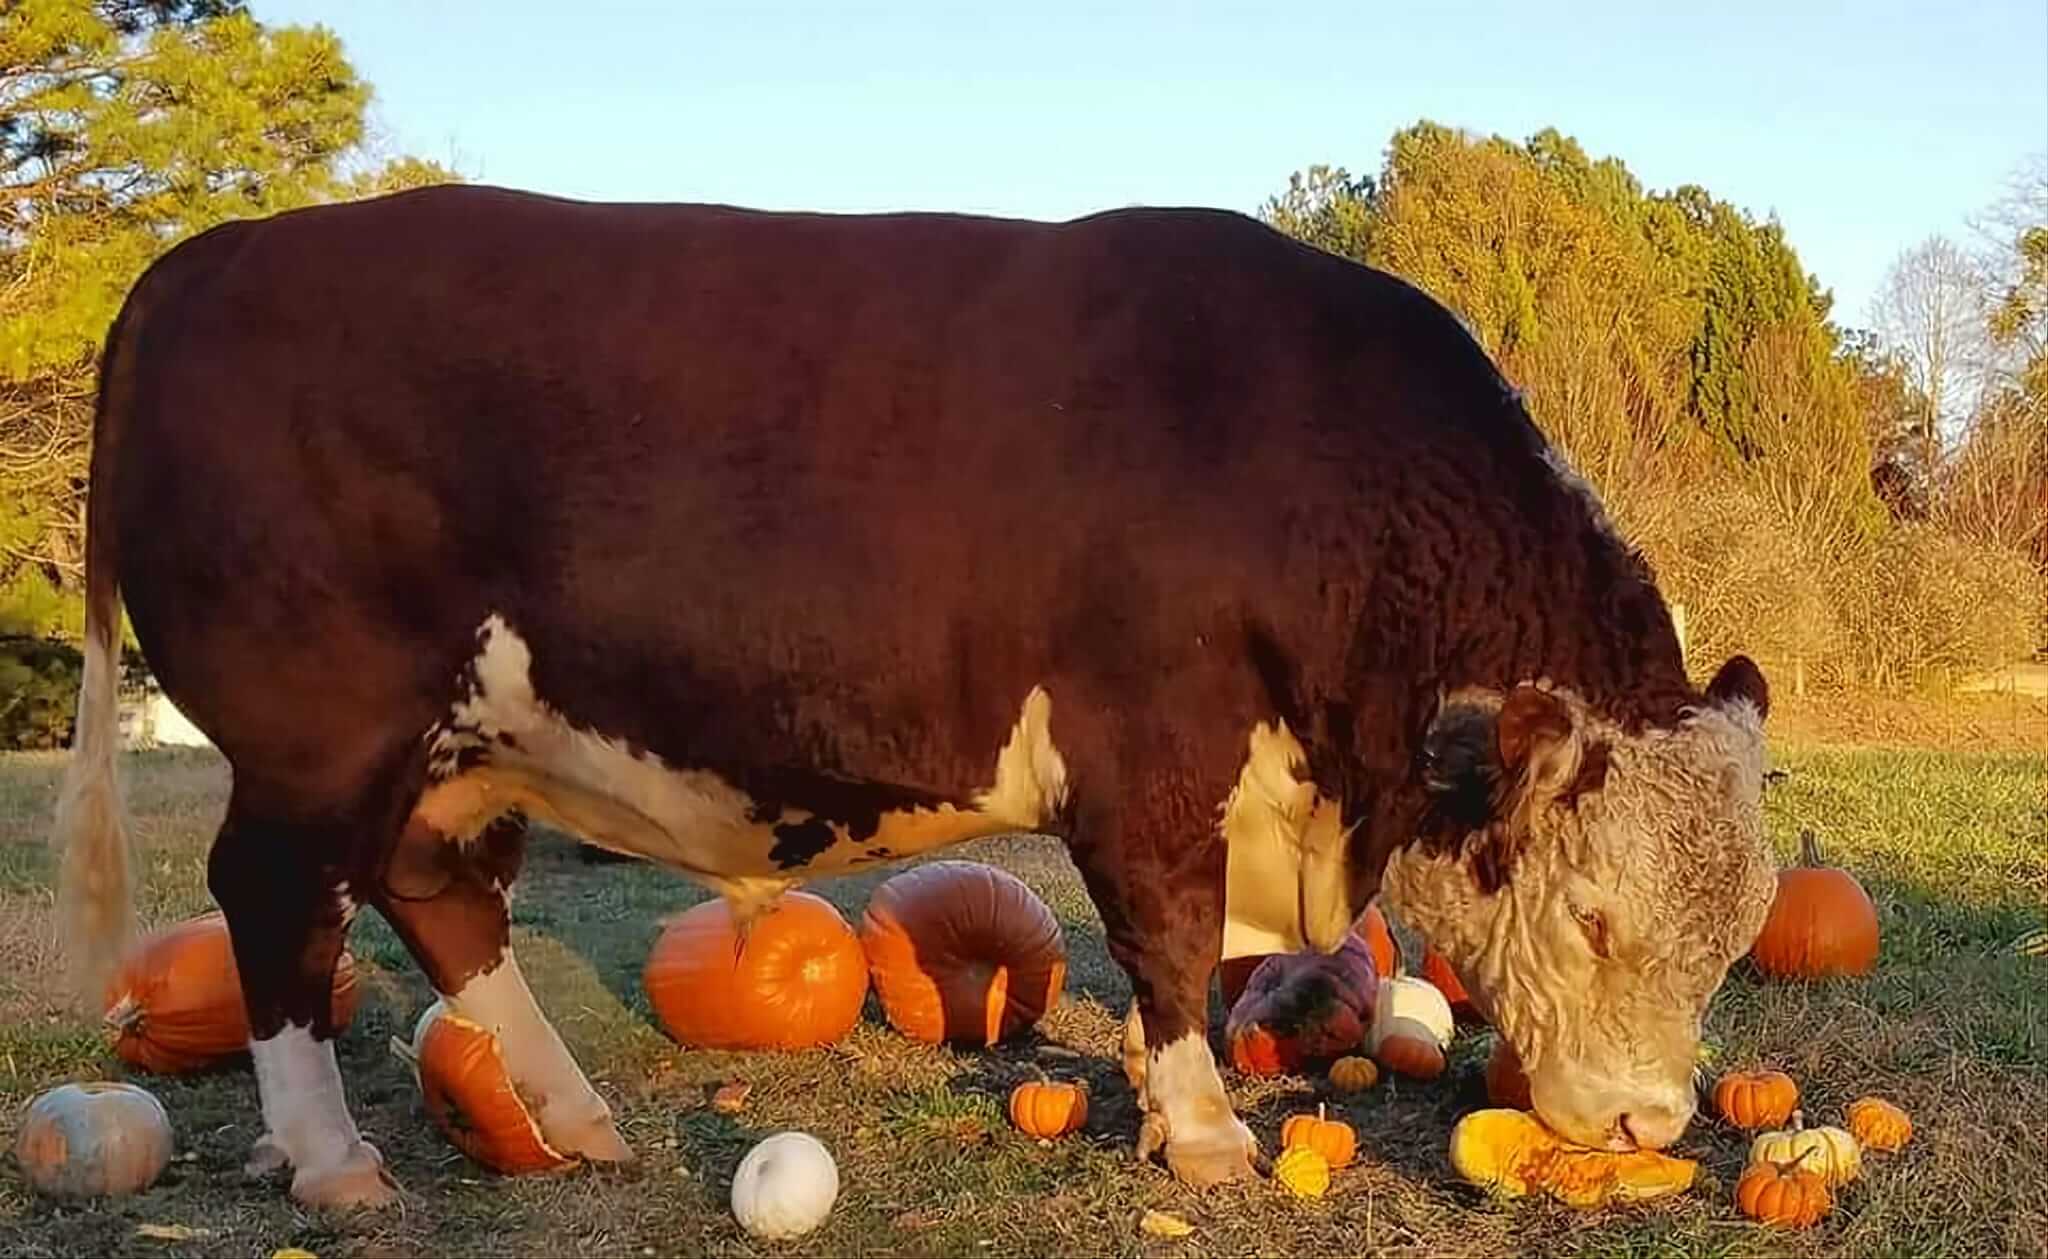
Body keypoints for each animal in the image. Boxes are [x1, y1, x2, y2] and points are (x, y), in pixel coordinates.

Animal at [50, 184, 1779, 1210]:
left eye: (1739, 923)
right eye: (1595, 917)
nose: (1652, 1124)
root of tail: (217, 252)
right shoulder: (1146, 750)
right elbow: (1169, 938)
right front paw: (1204, 1130)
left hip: (456, 747)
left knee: (441, 899)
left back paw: (574, 1117)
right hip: (316, 733)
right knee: (280, 904)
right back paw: (335, 1158)